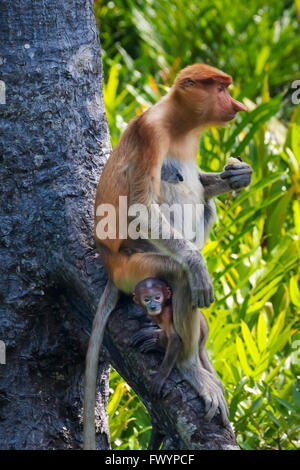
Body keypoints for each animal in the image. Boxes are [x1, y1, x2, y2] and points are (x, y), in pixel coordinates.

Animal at [83, 62, 252, 448]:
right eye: (221, 88)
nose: (236, 105)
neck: (179, 125)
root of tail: (110, 266)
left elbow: (201, 184)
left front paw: (240, 174)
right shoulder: (151, 133)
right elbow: (141, 209)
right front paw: (198, 266)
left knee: (206, 205)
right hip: (135, 265)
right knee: (179, 277)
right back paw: (190, 366)